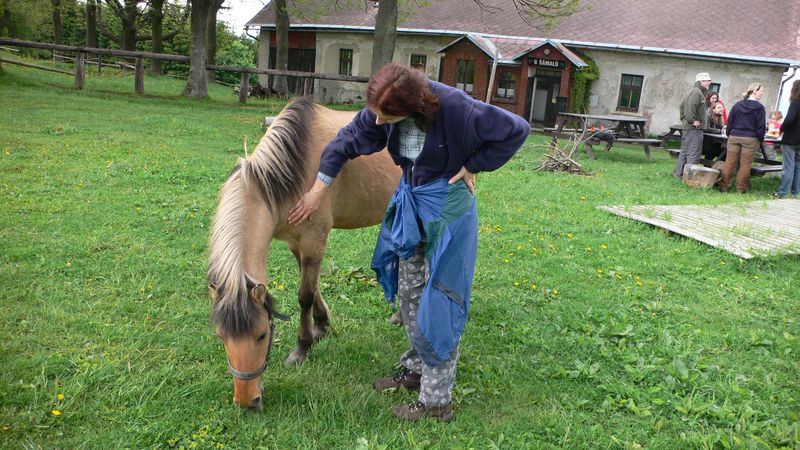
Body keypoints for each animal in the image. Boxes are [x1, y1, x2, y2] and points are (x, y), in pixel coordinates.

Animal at [207, 97, 400, 411]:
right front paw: (321, 326)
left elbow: (305, 295)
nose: (248, 402)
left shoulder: (313, 239)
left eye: (262, 335)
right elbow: (313, 286)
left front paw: (302, 347)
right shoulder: (296, 243)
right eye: (221, 336)